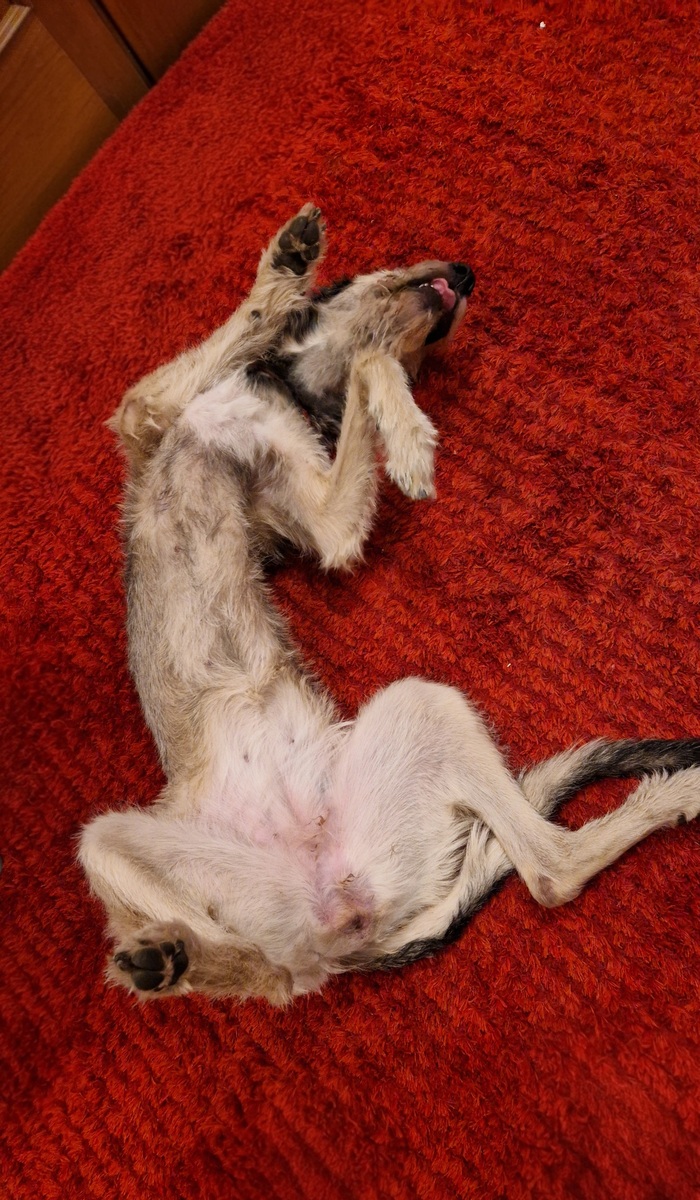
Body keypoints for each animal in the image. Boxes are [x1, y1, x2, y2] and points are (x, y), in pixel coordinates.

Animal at [79, 205, 700, 1005]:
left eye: (434, 352)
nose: (467, 273)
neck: (300, 392)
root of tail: (337, 927)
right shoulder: (152, 417)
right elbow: (261, 339)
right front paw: (291, 267)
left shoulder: (322, 520)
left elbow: (365, 366)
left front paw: (403, 434)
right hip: (110, 844)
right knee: (273, 972)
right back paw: (171, 959)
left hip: (419, 710)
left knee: (548, 870)